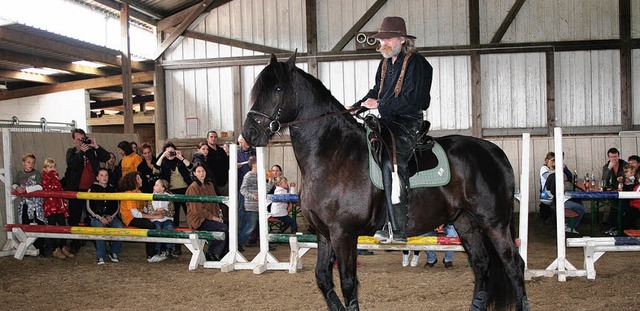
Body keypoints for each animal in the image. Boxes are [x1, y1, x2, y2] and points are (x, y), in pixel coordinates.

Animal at [242, 54, 528, 311]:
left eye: (278, 88)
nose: (249, 134)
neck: (333, 154)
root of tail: (495, 152)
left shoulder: (343, 234)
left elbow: (348, 283)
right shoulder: (324, 235)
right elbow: (323, 279)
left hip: (494, 223)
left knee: (514, 265)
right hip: (466, 223)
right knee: (482, 264)